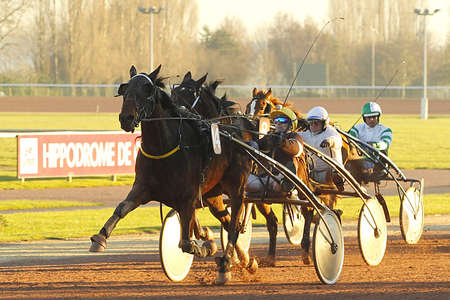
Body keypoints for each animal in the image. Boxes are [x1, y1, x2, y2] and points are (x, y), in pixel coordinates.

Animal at [89, 65, 255, 284]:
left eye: (147, 89)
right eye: (125, 89)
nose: (126, 118)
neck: (163, 148)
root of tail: (239, 135)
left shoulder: (187, 197)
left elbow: (185, 241)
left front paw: (203, 246)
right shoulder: (143, 189)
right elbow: (121, 208)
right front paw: (100, 238)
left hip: (236, 189)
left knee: (235, 225)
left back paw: (225, 264)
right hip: (213, 196)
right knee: (227, 222)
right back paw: (246, 260)